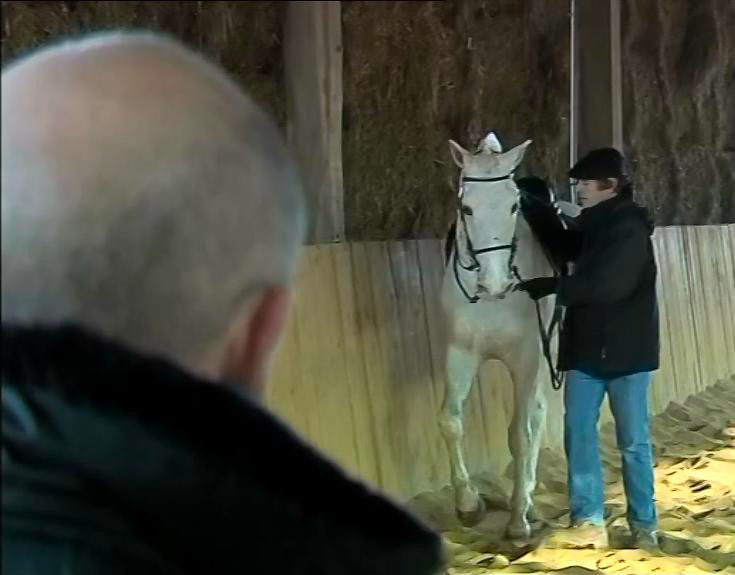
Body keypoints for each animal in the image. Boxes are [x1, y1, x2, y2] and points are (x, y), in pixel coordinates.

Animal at [440, 130, 576, 540]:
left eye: (514, 205)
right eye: (467, 207)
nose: (496, 282)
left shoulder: (526, 359)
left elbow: (519, 433)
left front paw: (517, 519)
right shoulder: (460, 352)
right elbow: (450, 421)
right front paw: (469, 505)